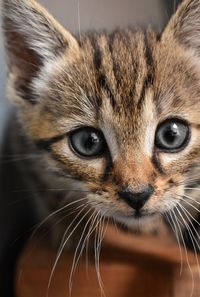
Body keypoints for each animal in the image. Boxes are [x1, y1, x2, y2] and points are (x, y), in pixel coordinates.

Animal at [1, 0, 200, 294]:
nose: (137, 195)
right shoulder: (21, 145)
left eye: (172, 134)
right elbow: (50, 192)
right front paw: (72, 226)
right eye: (88, 142)